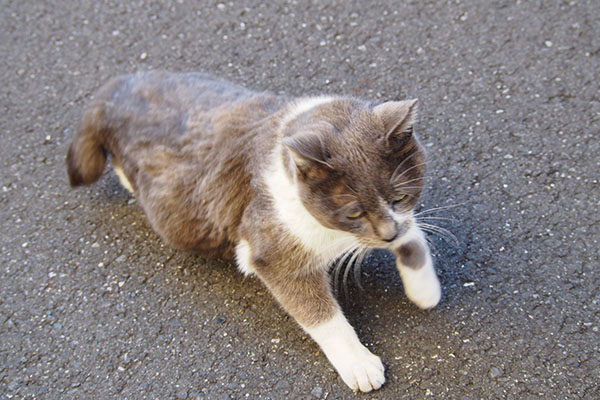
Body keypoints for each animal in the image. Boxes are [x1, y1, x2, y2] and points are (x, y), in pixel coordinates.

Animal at [67, 70, 440, 392]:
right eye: (354, 212)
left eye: (400, 196)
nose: (388, 234)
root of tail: (113, 90)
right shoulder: (272, 250)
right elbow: (321, 313)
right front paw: (359, 363)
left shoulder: (396, 221)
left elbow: (413, 233)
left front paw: (425, 290)